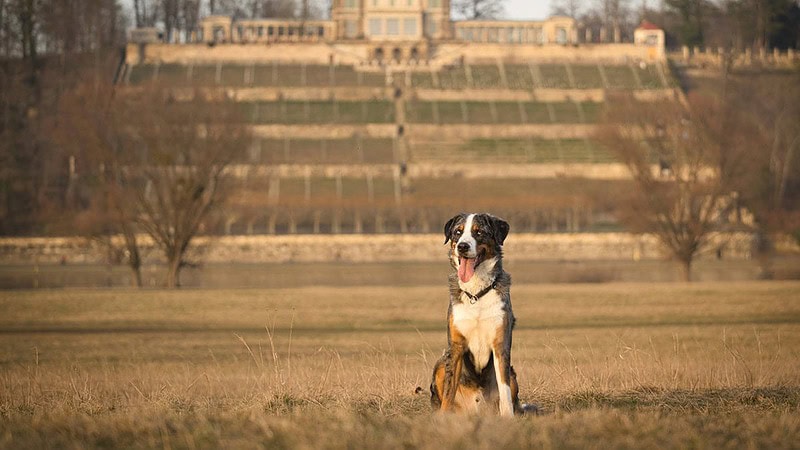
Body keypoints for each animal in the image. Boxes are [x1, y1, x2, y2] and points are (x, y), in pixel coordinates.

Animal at [428, 213, 520, 416]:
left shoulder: (500, 346)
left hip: (512, 373)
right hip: (441, 362)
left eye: (479, 232)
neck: (476, 294)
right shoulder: (456, 347)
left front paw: (508, 418)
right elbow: (449, 391)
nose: (462, 246)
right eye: (458, 232)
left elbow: (505, 392)